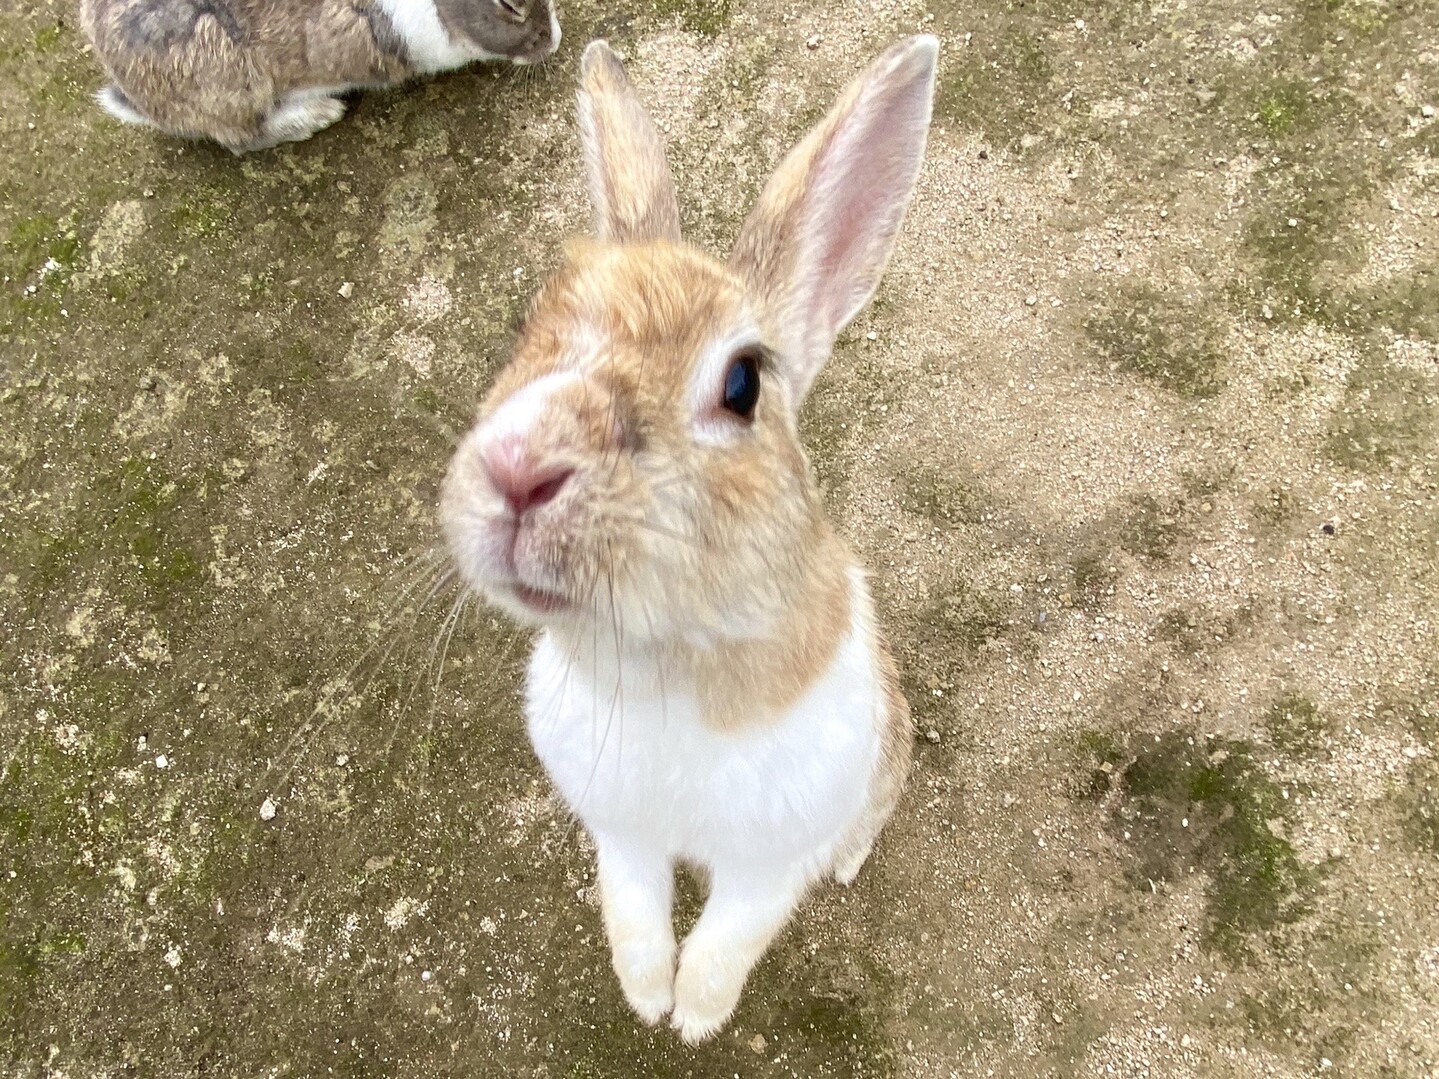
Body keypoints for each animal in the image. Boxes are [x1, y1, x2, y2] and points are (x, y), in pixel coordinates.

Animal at [437, 35, 932, 1047]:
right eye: (529, 324)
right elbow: (631, 911)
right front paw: (644, 995)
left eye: (742, 383)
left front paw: (694, 1017)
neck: (657, 657)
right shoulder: (619, 834)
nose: (518, 466)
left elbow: (726, 941)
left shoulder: (768, 862)